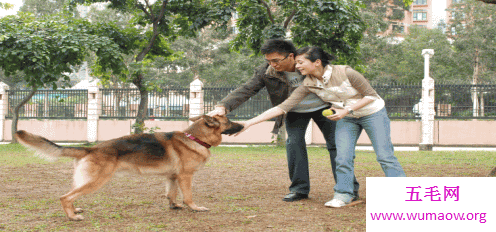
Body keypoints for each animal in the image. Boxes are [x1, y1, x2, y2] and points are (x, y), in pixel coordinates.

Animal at [16, 115, 245, 220]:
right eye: (228, 120)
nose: (243, 125)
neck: (195, 137)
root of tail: (91, 148)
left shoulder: (172, 177)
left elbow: (170, 194)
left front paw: (174, 206)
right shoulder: (185, 177)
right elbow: (188, 196)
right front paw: (195, 208)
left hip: (86, 180)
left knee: (71, 195)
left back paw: (75, 210)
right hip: (97, 181)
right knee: (65, 197)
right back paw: (73, 217)